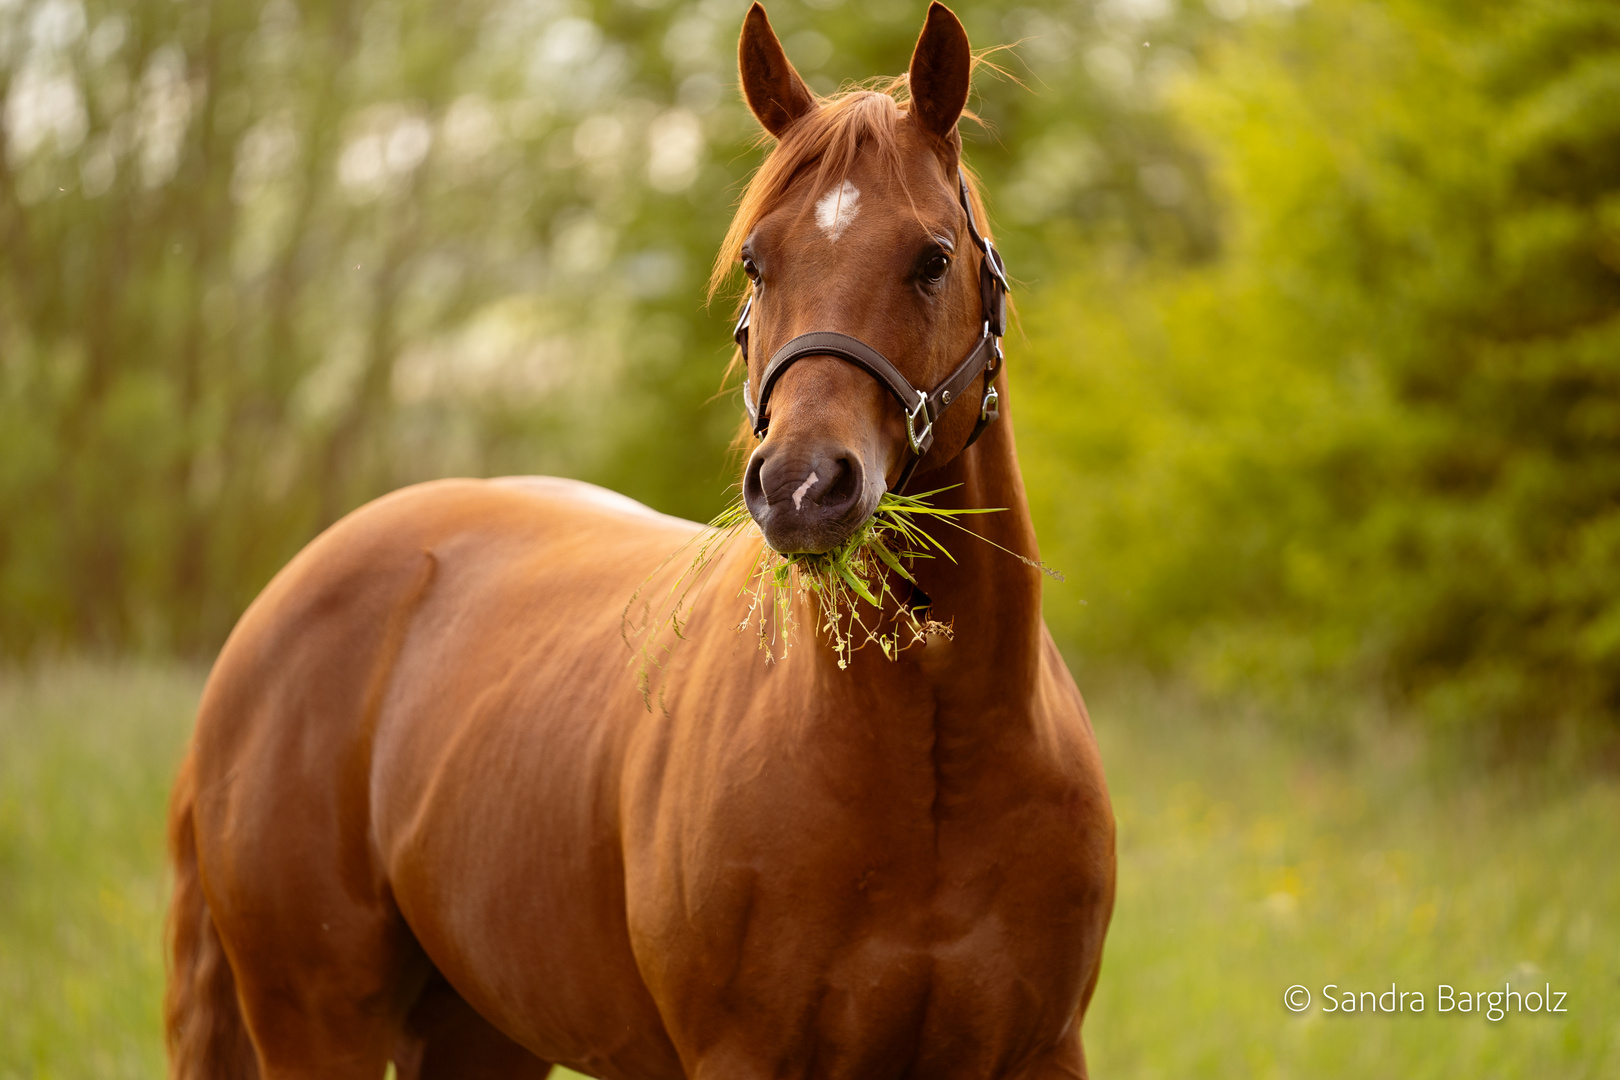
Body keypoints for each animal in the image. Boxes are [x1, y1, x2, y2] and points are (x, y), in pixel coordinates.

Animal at [167, 4, 1114, 1075]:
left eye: (933, 258)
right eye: (756, 261)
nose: (802, 487)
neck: (935, 758)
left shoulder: (1044, 1051)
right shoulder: (742, 1055)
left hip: (477, 1029)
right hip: (315, 1021)